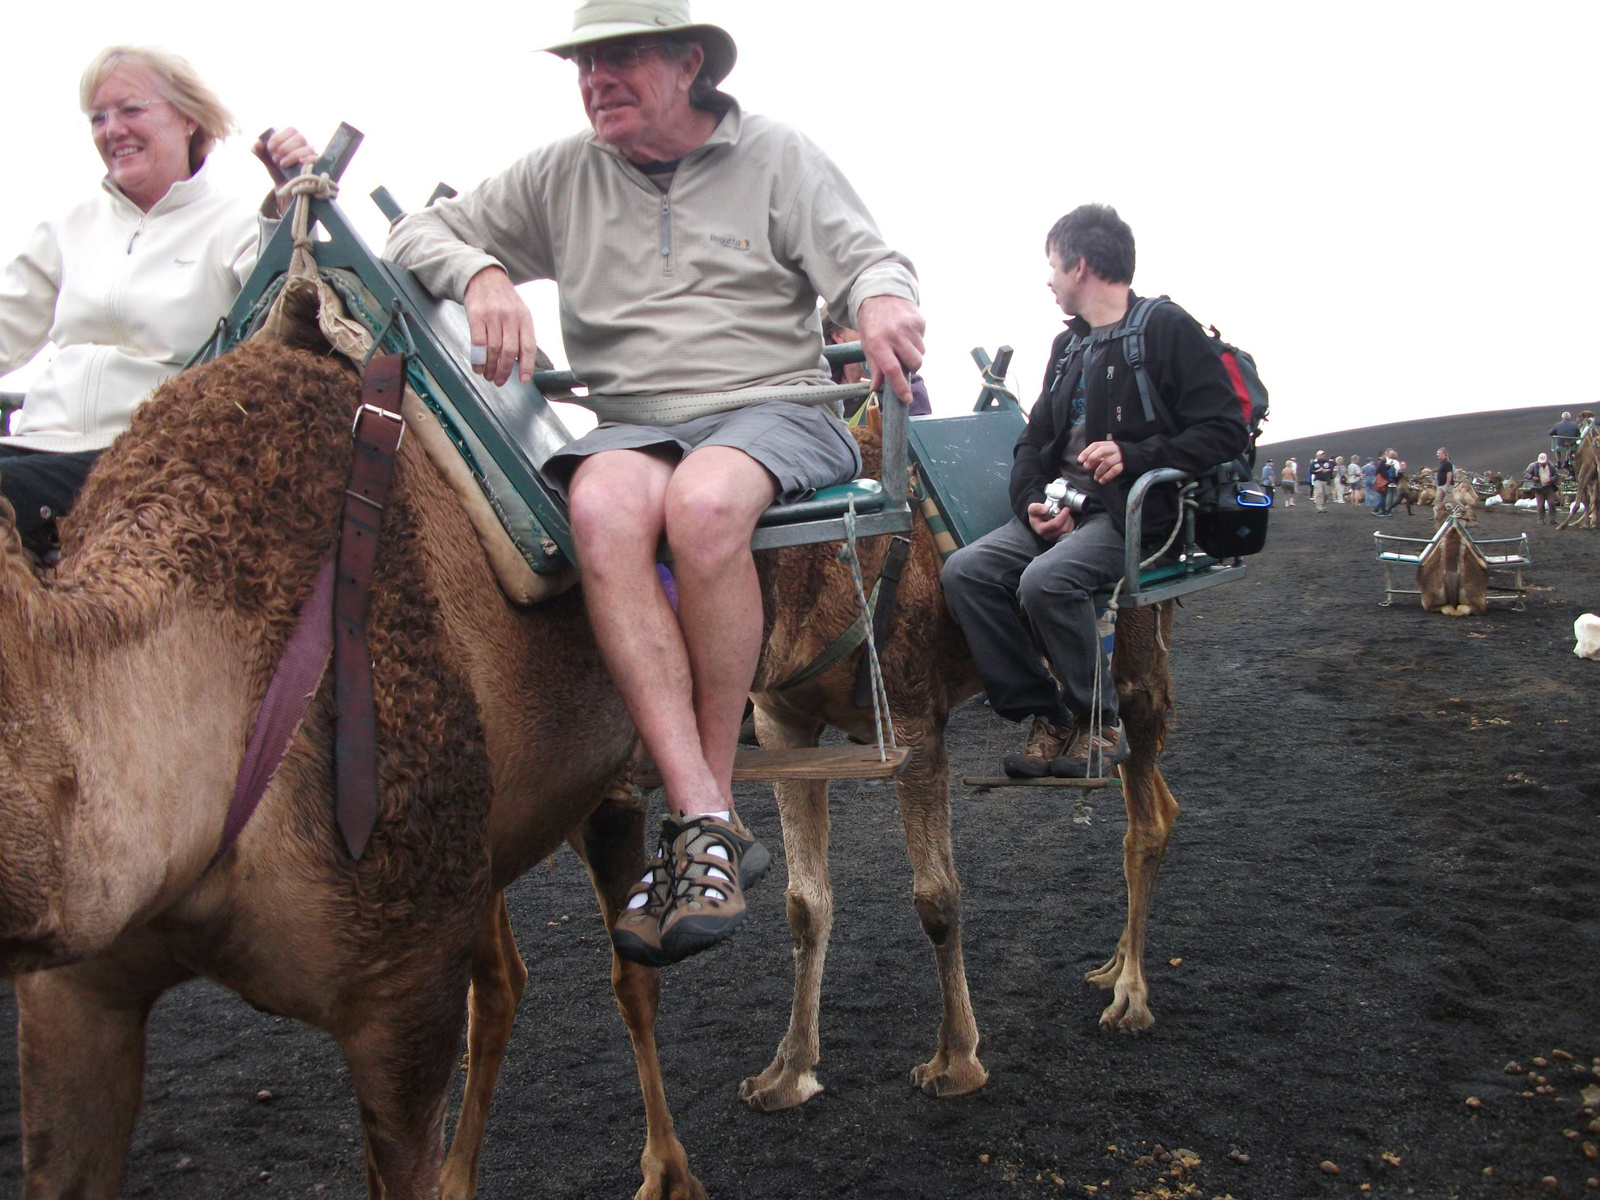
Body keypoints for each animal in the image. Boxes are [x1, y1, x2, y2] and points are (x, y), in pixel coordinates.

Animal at [0, 339, 700, 1200]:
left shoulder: (400, 994)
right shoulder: (72, 991)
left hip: (602, 789)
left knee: (630, 976)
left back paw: (666, 1170)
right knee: (504, 982)